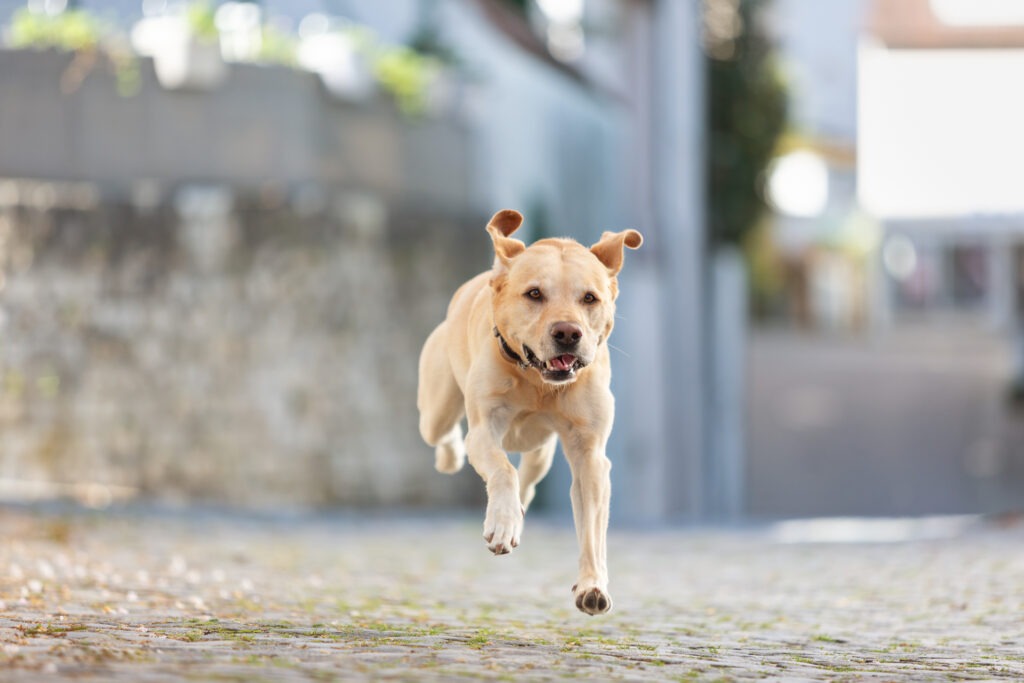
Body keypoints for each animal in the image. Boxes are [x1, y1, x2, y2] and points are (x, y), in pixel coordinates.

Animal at [415, 206, 638, 614]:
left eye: (589, 298)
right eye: (534, 293)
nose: (568, 333)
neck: (538, 381)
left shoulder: (590, 454)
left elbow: (592, 527)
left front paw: (592, 585)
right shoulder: (484, 430)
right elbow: (502, 470)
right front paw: (501, 526)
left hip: (540, 450)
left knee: (529, 479)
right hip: (436, 409)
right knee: (446, 434)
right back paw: (452, 457)